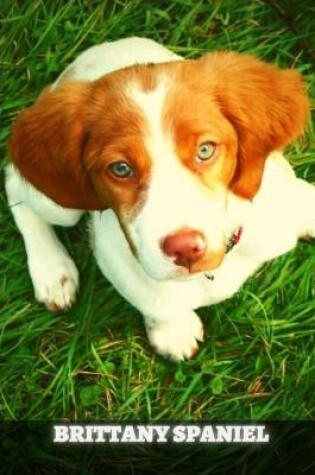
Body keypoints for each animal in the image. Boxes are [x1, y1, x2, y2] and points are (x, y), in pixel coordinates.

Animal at [5, 37, 315, 360]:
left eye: (205, 150)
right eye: (121, 169)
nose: (185, 248)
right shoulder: (118, 260)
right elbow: (155, 299)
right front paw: (173, 329)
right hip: (62, 204)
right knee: (15, 183)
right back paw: (53, 271)